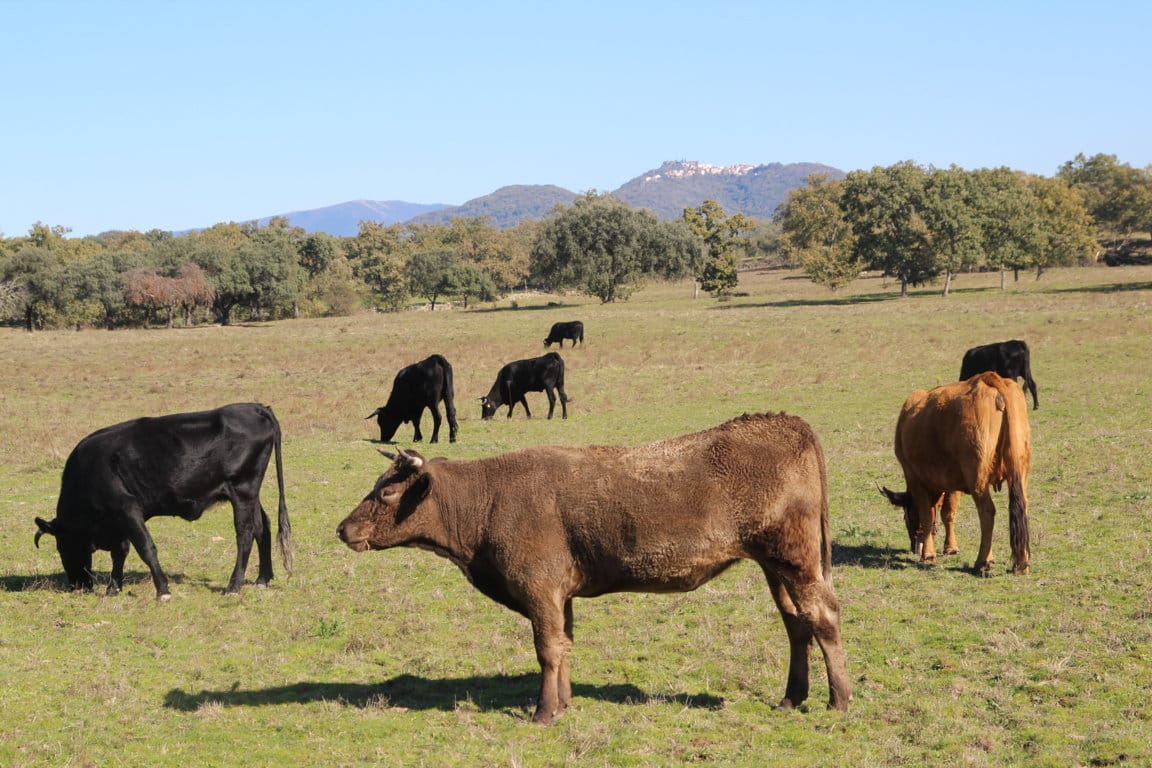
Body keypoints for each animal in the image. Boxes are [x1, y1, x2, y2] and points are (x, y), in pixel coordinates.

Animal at [34, 402, 292, 598]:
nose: (76, 586)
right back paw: (262, 579)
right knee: (262, 526)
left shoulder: (127, 508)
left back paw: (233, 586)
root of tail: (255, 407)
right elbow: (120, 552)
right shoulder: (118, 521)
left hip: (242, 490)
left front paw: (163, 591)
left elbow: (145, 548)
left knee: (245, 534)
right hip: (250, 494)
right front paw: (113, 588)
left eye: (61, 546)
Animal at [336, 412, 852, 723]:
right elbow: (564, 646)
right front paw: (562, 703)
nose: (343, 528)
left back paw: (839, 699)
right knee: (797, 625)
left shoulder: (539, 590)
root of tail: (784, 423)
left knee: (823, 618)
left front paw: (544, 713)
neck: (489, 497)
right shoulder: (560, 597)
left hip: (797, 563)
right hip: (775, 568)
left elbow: (547, 649)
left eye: (386, 491)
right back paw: (792, 697)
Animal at [880, 373, 1036, 575]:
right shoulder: (952, 482)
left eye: (906, 517)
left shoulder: (914, 478)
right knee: (1021, 508)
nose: (914, 547)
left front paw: (928, 554)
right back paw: (1021, 564)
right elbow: (948, 513)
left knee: (987, 512)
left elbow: (927, 515)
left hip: (977, 478)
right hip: (1019, 470)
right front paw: (950, 547)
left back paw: (982, 560)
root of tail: (988, 379)